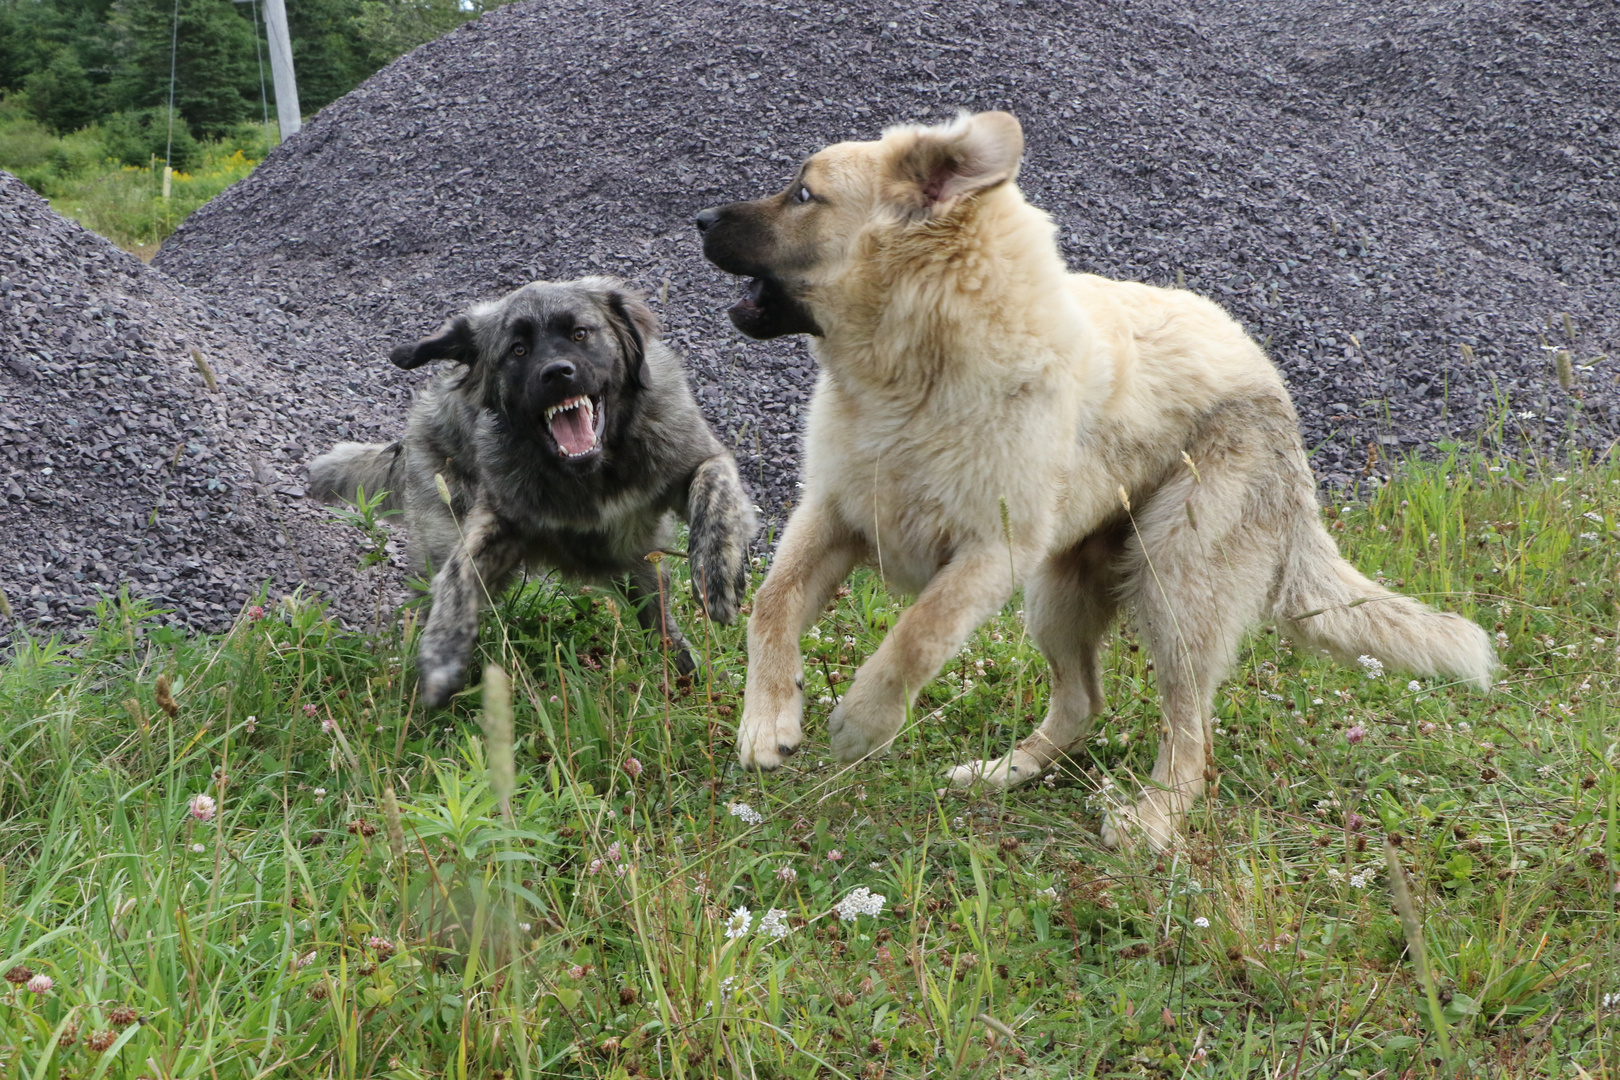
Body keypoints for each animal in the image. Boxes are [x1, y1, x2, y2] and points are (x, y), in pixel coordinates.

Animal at [309, 275, 758, 705]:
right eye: (518, 350)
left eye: (580, 333)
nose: (557, 372)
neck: (593, 472)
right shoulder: (500, 518)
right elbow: (458, 572)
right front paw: (441, 654)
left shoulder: (695, 458)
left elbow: (714, 490)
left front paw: (717, 575)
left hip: (643, 566)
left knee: (661, 620)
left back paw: (691, 675)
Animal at [696, 111, 1490, 854]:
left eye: (804, 194)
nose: (699, 218)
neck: (916, 369)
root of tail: (1278, 398)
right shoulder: (836, 514)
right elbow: (771, 604)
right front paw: (769, 719)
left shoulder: (990, 553)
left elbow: (914, 639)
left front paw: (864, 722)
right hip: (1059, 593)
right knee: (1083, 702)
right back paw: (1006, 772)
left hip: (1173, 590)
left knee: (1191, 734)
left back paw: (1153, 819)